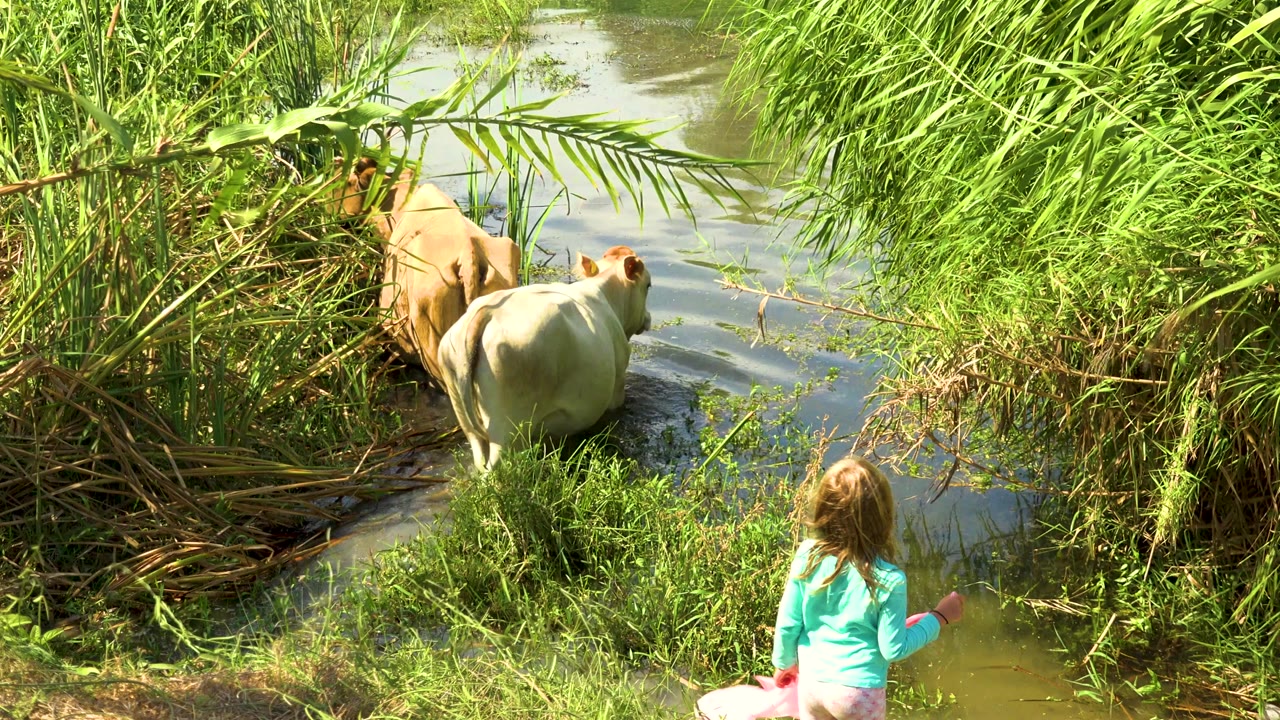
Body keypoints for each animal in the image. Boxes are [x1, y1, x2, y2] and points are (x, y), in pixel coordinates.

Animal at [438, 245, 653, 470]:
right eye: (648, 285)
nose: (647, 318)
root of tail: (488, 312)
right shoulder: (617, 386)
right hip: (508, 431)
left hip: (464, 413)